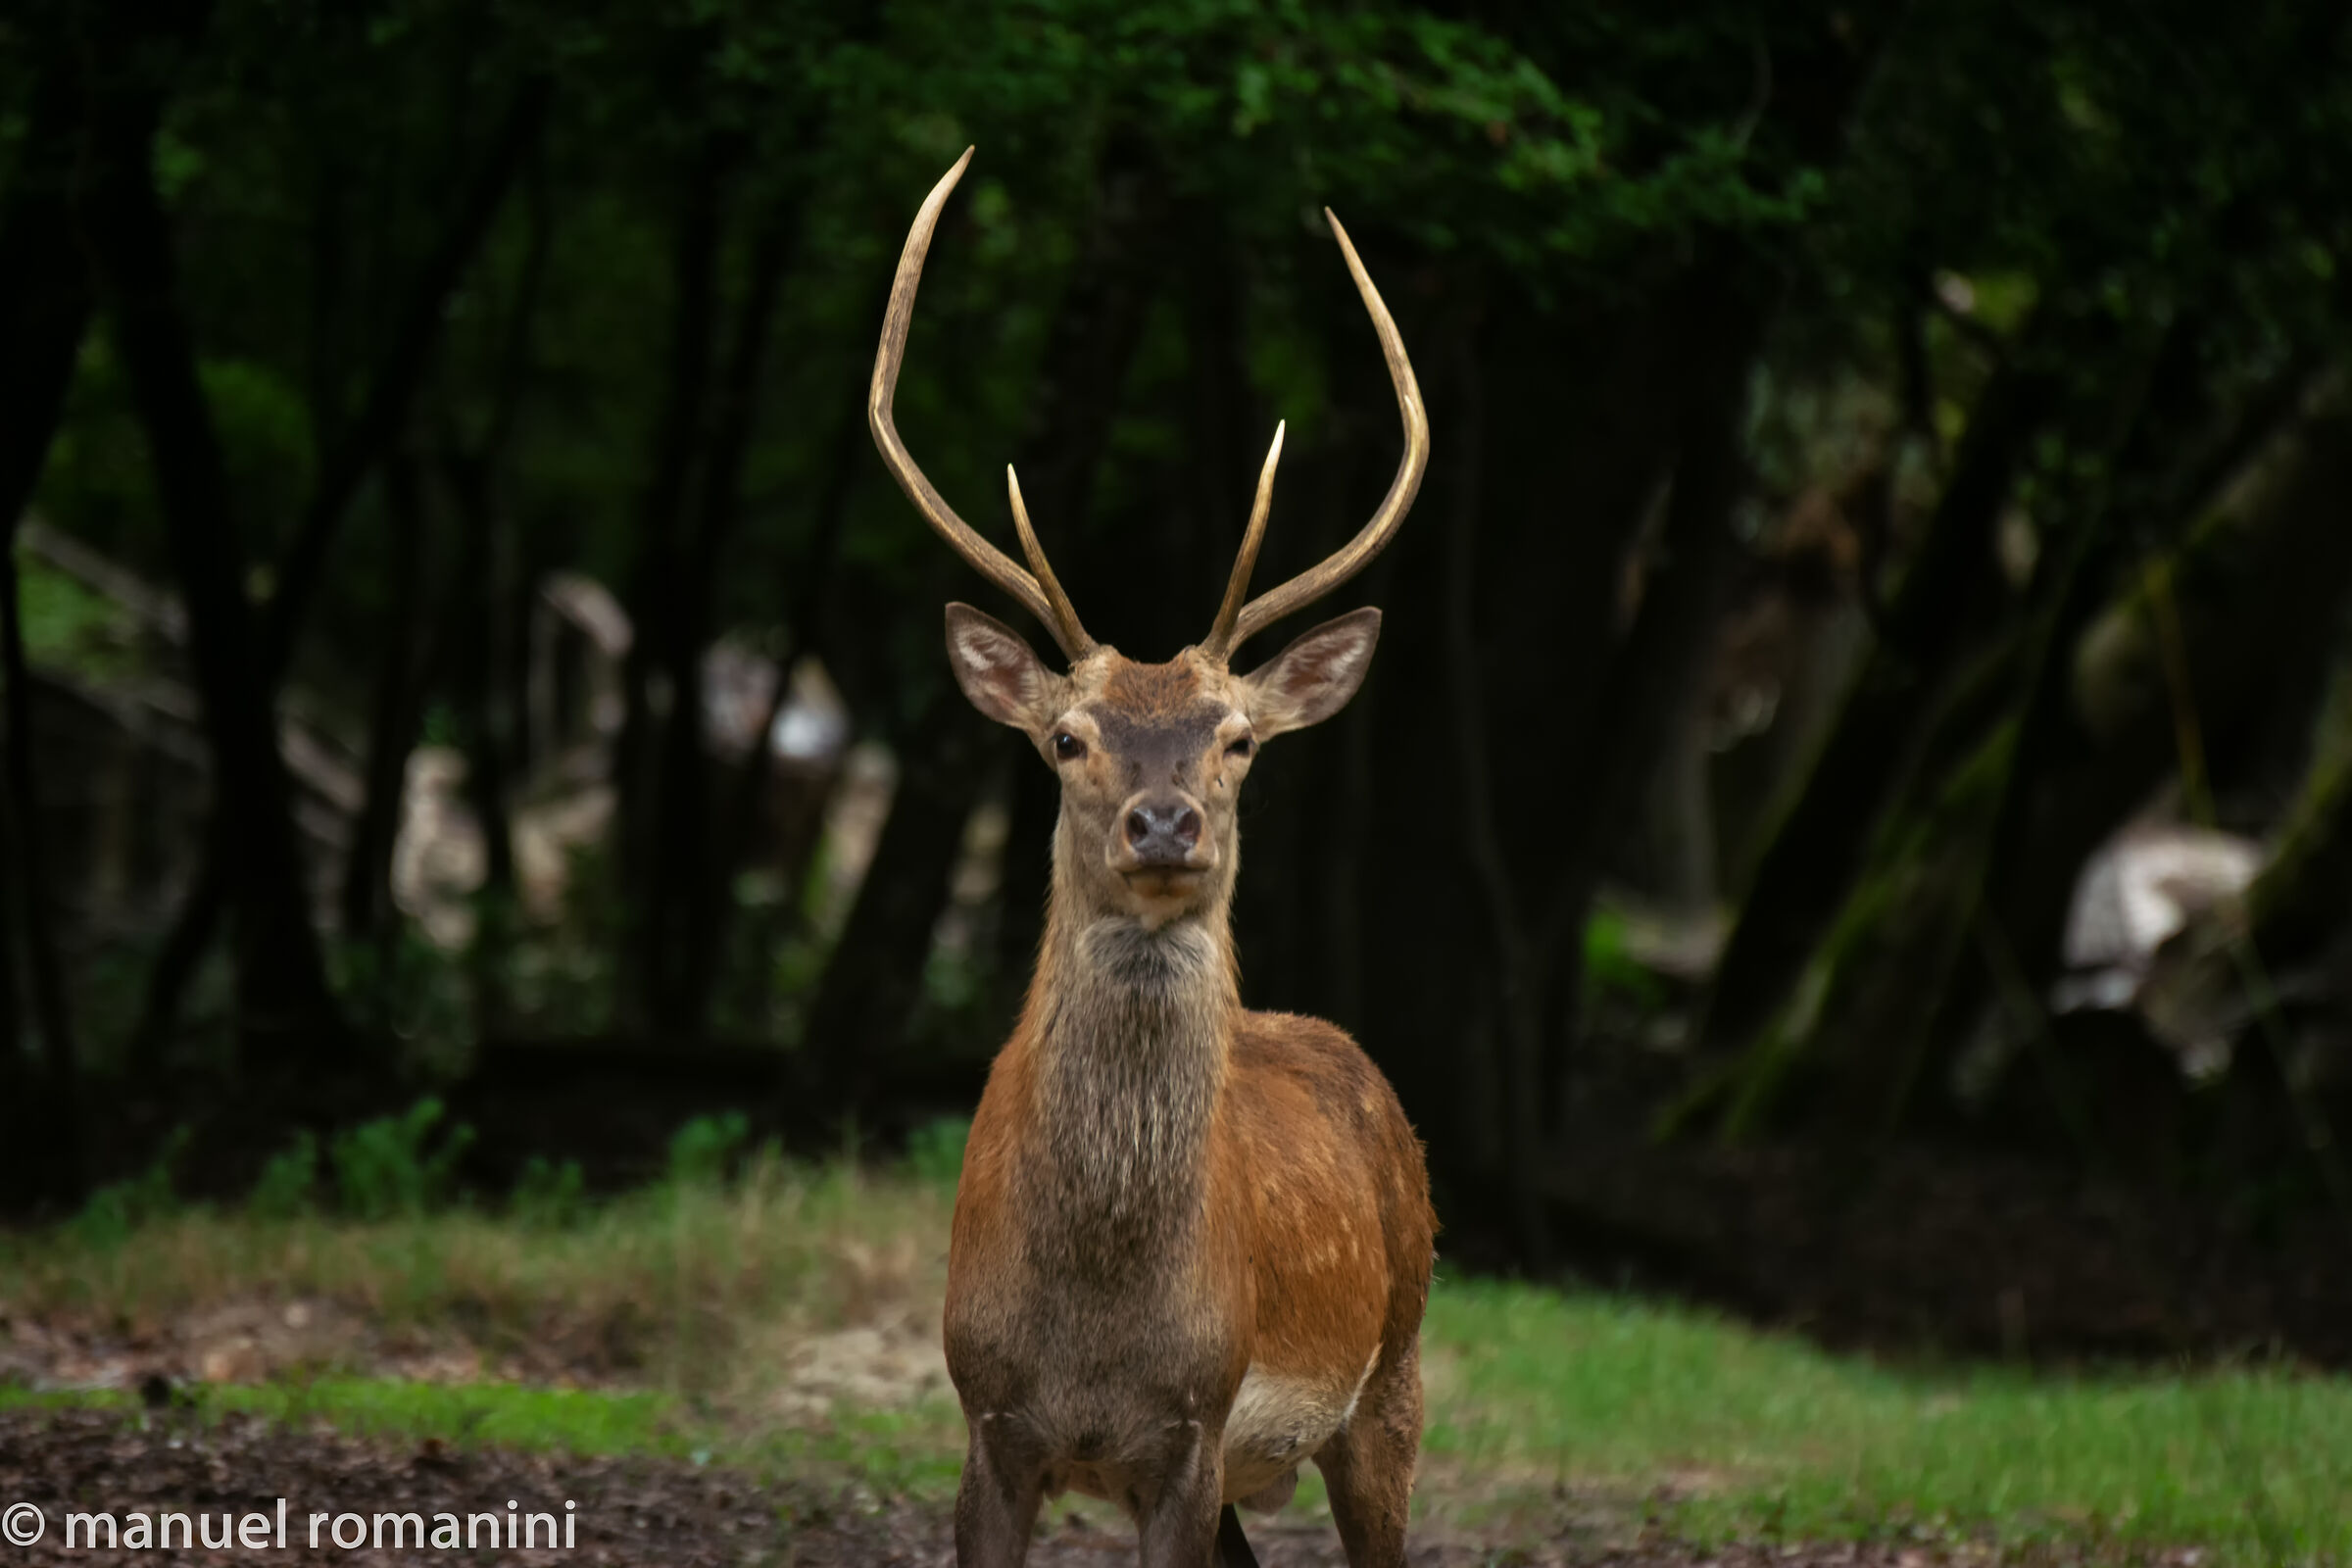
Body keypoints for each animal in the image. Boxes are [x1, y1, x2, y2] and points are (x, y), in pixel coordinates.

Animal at [868, 149, 1437, 1568]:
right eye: (1068, 738)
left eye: (1237, 738)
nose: (1166, 822)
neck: (1100, 1331)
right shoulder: (987, 1418)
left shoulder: (1192, 1425)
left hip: (1394, 1381)